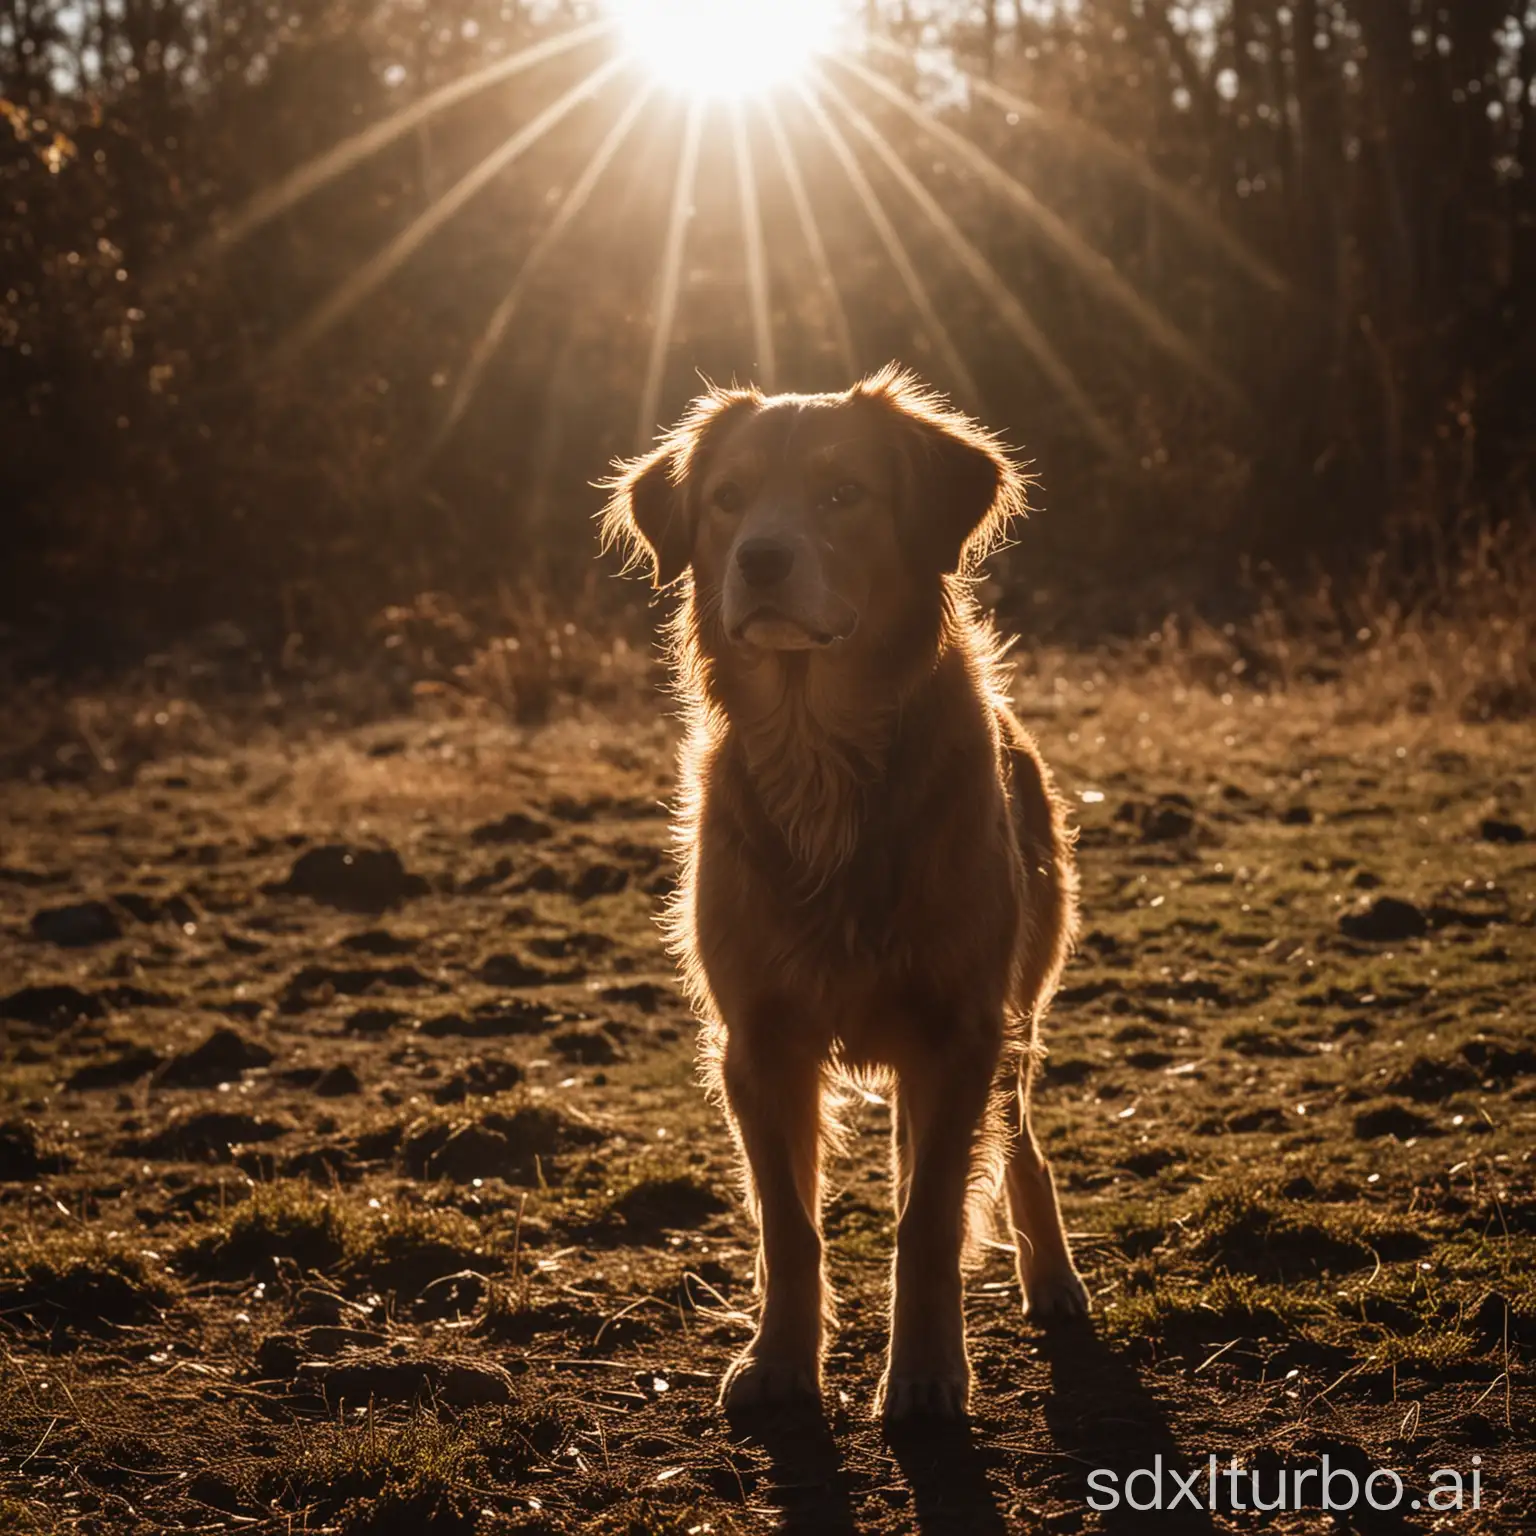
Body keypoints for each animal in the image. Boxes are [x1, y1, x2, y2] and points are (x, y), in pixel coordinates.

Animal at [602, 362, 1093, 1413]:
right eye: (727, 498)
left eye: (842, 494)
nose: (761, 560)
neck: (821, 758)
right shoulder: (756, 1041)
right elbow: (789, 1221)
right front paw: (779, 1358)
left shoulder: (960, 1030)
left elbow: (929, 1219)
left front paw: (926, 1373)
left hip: (1016, 1011)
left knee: (1019, 1146)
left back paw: (1052, 1275)